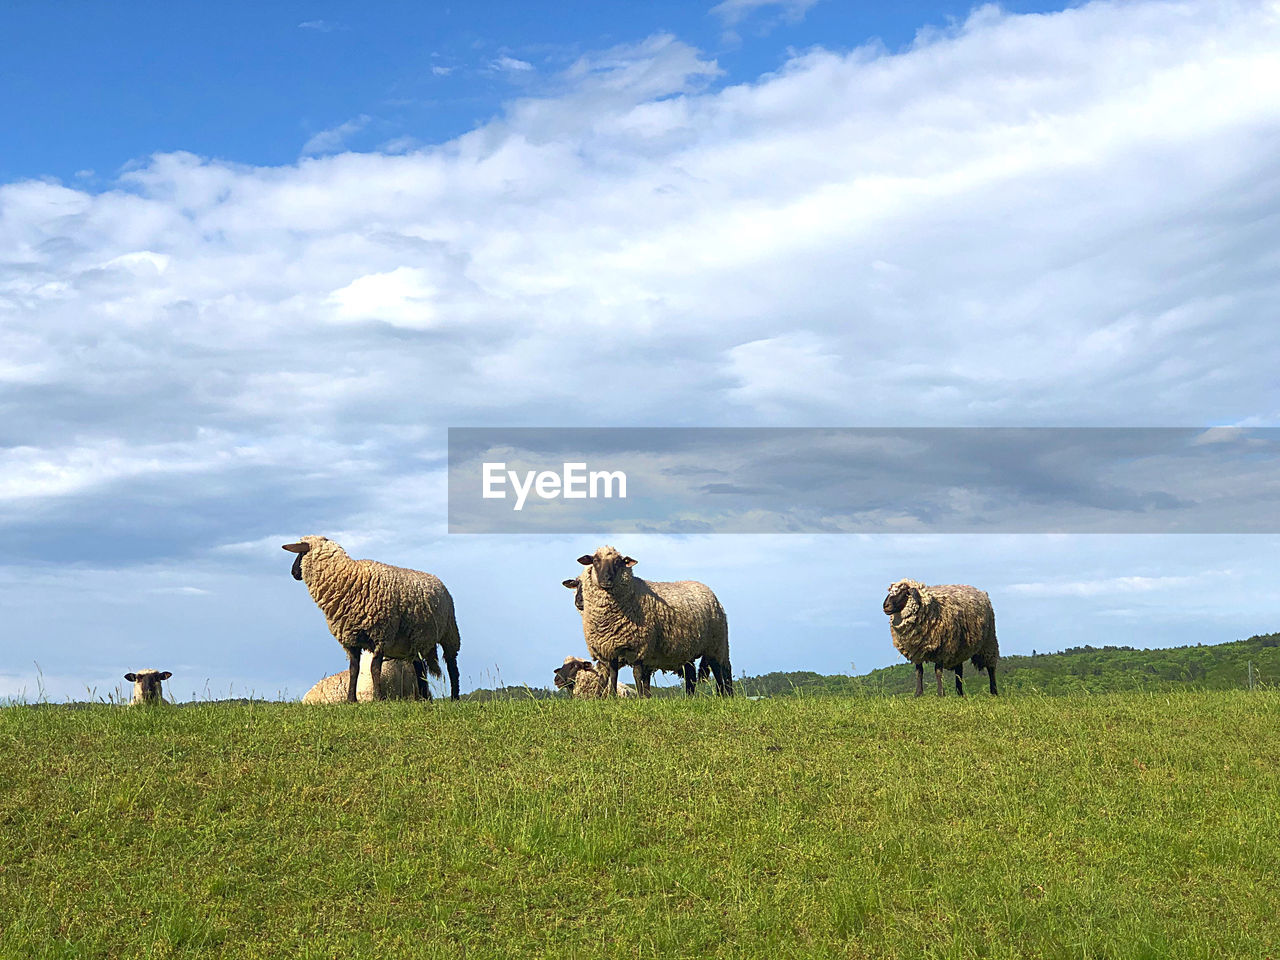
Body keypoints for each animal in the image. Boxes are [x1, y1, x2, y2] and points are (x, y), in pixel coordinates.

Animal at [282, 537, 463, 701]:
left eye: (300, 554)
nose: (293, 572)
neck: (348, 580)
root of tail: (436, 579)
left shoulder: (381, 635)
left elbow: (375, 668)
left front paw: (378, 698)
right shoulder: (351, 638)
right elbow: (354, 669)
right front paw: (351, 699)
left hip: (449, 632)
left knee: (452, 667)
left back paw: (454, 697)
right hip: (416, 641)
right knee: (420, 668)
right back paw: (424, 698)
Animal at [570, 547, 732, 701]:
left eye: (618, 562)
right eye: (595, 560)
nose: (606, 579)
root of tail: (709, 591)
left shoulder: (638, 645)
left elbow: (637, 674)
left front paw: (641, 697)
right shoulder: (610, 648)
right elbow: (612, 674)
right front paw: (610, 696)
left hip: (717, 644)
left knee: (722, 670)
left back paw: (725, 695)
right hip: (688, 649)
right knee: (691, 674)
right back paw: (690, 697)